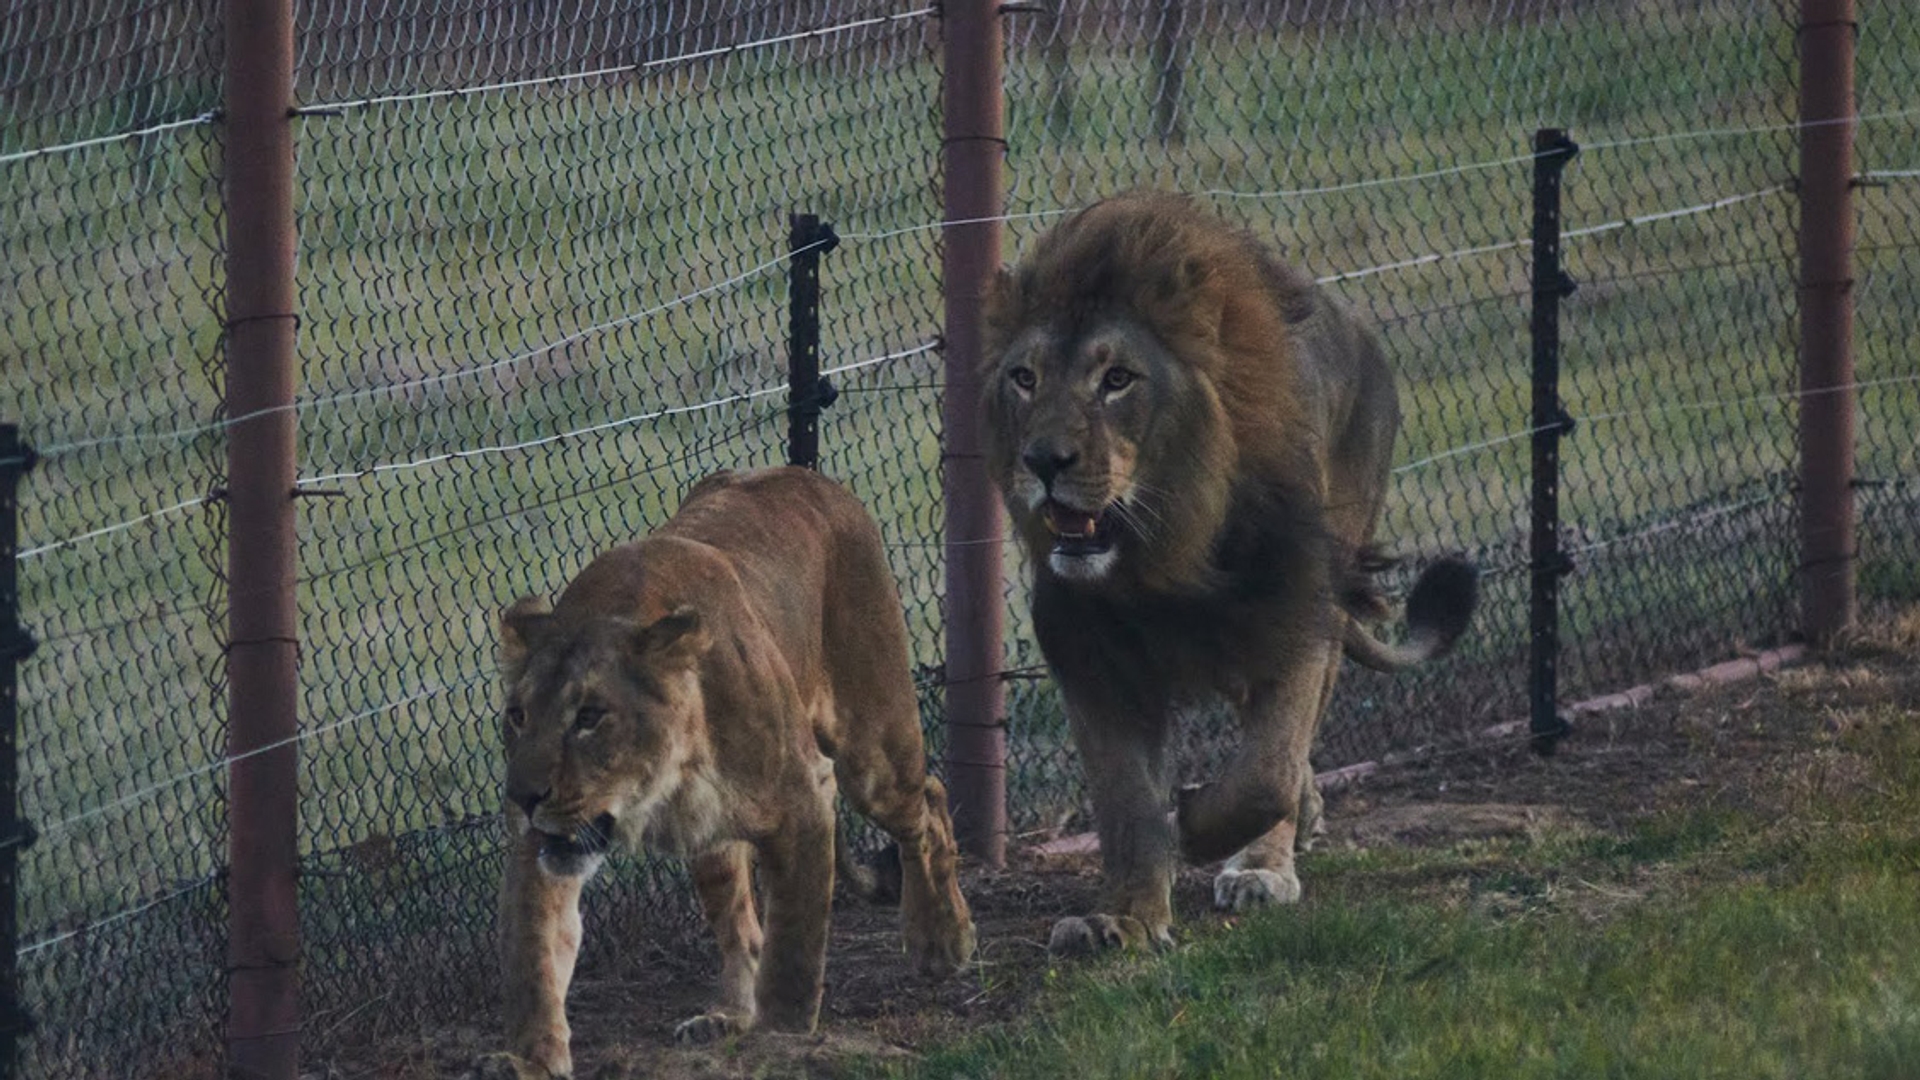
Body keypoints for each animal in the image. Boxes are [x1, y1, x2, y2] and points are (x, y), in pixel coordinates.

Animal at [466, 465, 975, 1076]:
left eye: (589, 717)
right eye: (517, 715)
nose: (523, 796)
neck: (661, 781)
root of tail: (806, 476)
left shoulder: (806, 797)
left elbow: (795, 951)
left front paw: (779, 1040)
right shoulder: (539, 848)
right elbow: (534, 958)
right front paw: (526, 1061)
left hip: (873, 752)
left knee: (930, 800)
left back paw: (941, 940)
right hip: (711, 841)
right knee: (742, 929)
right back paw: (728, 1017)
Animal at [983, 193, 1474, 949]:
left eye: (1117, 380)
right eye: (1024, 377)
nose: (1042, 461)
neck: (1163, 560)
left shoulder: (1297, 617)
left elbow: (1265, 773)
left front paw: (1197, 826)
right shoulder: (1090, 658)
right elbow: (1126, 802)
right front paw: (1125, 919)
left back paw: (1263, 865)